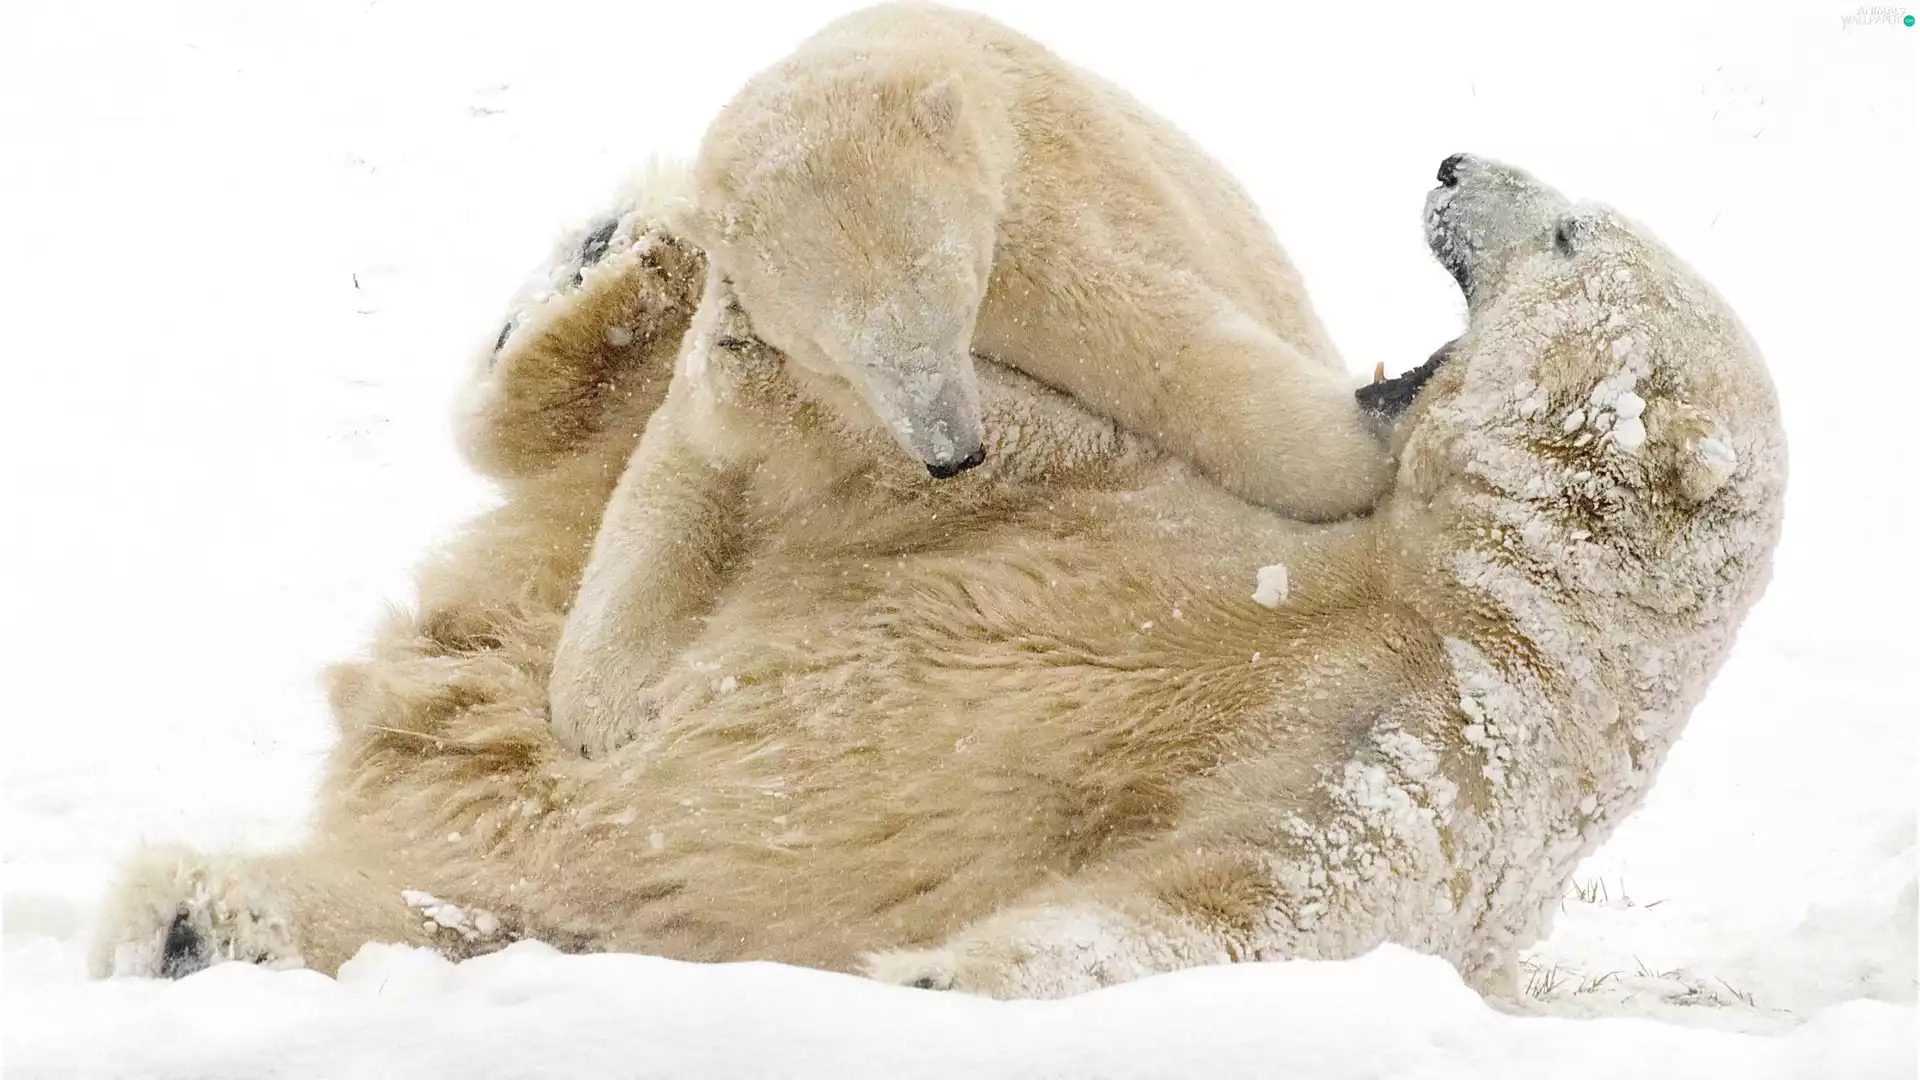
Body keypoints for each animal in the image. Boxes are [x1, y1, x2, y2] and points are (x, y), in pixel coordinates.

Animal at [90, 154, 1784, 1002]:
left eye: (1569, 234)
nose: (1451, 157)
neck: (1453, 591)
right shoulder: (1162, 523)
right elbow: (960, 450)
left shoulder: (1434, 762)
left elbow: (1235, 908)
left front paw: (926, 978)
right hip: (549, 619)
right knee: (612, 460)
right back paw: (614, 261)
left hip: (524, 856)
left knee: (435, 891)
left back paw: (200, 925)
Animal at [550, 1, 1402, 756]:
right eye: (842, 352)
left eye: (949, 303)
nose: (953, 453)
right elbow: (681, 466)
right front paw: (602, 707)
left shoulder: (1042, 225)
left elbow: (1152, 342)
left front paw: (1357, 454)